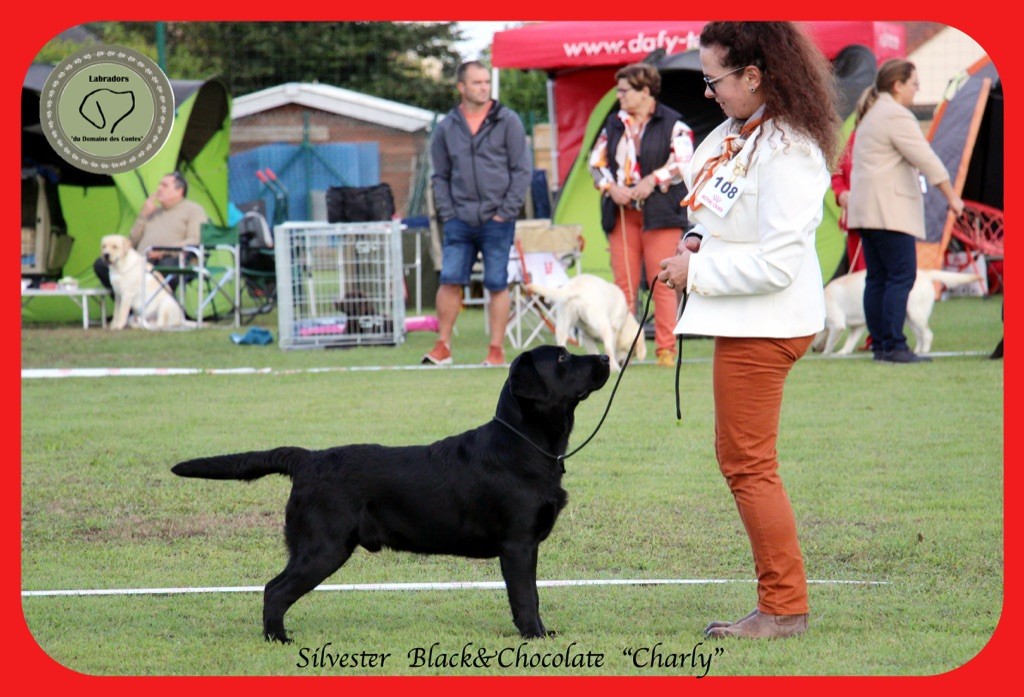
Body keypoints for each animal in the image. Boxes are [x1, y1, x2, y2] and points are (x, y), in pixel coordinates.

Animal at [172, 345, 611, 643]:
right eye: (561, 358)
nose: (607, 357)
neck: (523, 445)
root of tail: (308, 458)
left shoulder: (525, 545)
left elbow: (532, 593)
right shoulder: (517, 543)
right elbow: (526, 597)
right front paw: (534, 635)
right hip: (323, 546)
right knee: (274, 590)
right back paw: (279, 639)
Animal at [812, 269, 983, 355]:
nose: (812, 349)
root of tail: (925, 273)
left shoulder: (837, 324)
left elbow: (830, 342)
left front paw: (826, 353)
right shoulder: (858, 326)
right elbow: (850, 341)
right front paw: (843, 352)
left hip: (916, 314)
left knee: (928, 334)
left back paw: (924, 351)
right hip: (909, 317)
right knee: (920, 336)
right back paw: (916, 350)